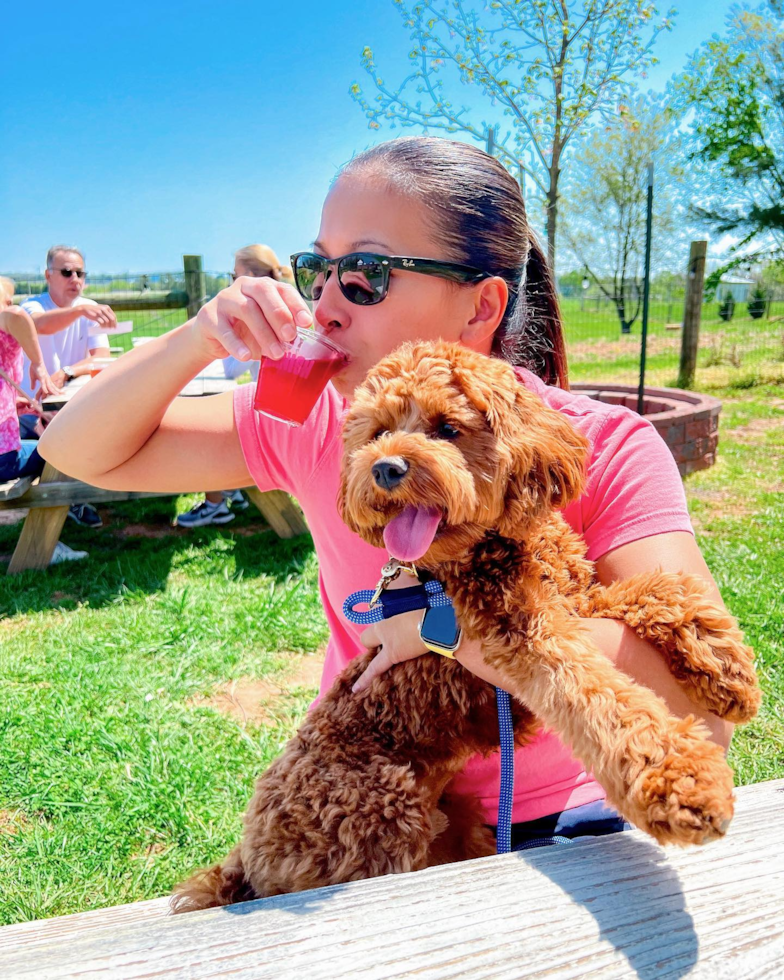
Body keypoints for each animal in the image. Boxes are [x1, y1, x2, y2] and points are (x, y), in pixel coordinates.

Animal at [172, 342, 760, 912]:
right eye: (378, 432)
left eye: (447, 427)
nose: (384, 468)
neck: (490, 548)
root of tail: (244, 862)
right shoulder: (526, 638)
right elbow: (602, 698)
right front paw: (683, 782)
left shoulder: (573, 600)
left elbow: (658, 589)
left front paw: (725, 665)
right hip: (381, 808)